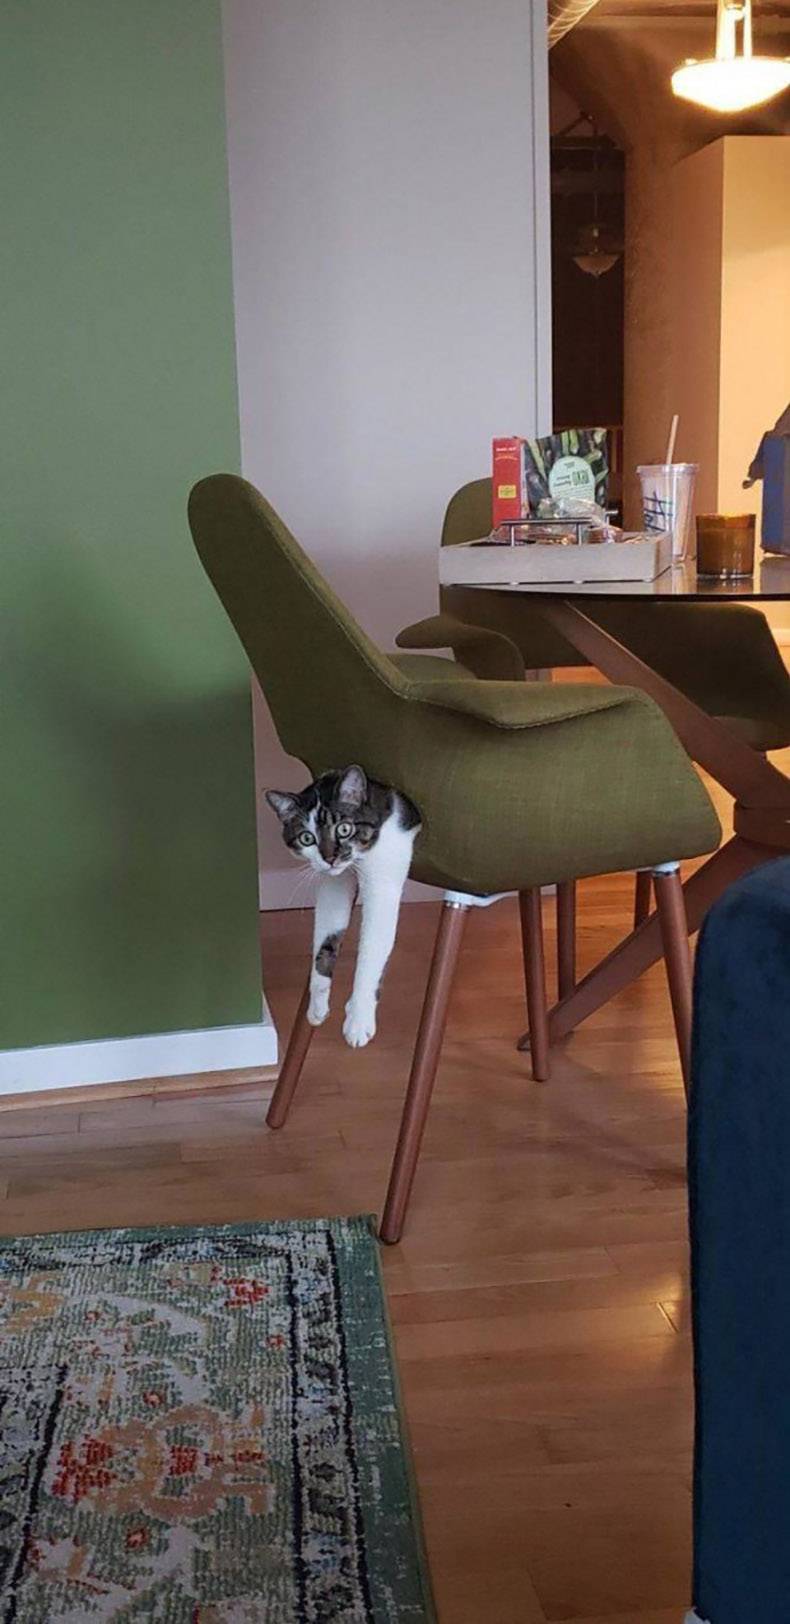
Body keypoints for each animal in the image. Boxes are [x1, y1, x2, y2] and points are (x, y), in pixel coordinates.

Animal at [266, 766, 421, 1049]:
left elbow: (370, 953)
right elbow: (324, 943)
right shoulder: (334, 884)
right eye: (307, 838)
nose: (330, 858)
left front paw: (358, 1020)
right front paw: (317, 1005)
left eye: (344, 829)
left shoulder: (383, 884)